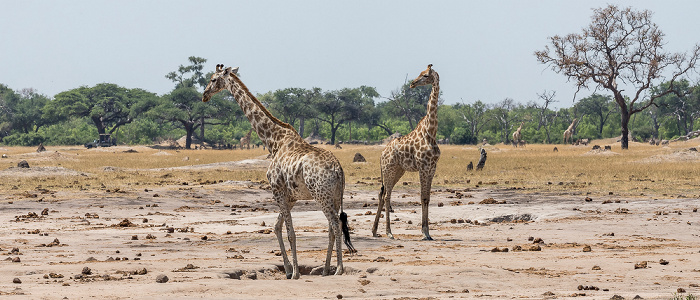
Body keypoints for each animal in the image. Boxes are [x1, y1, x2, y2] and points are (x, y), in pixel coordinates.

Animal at [202, 63, 356, 278]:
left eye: (213, 79)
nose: (204, 95)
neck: (273, 142)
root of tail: (338, 169)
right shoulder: (290, 196)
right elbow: (276, 227)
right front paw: (288, 269)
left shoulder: (277, 190)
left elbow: (290, 233)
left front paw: (296, 273)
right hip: (335, 195)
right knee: (333, 227)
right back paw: (326, 269)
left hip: (321, 194)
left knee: (335, 223)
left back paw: (339, 269)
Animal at [374, 63, 440, 241]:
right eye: (421, 73)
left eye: (425, 75)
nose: (412, 83)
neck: (431, 132)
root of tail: (381, 155)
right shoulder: (423, 167)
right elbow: (423, 197)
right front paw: (424, 232)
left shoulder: (432, 168)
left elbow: (428, 198)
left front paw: (428, 232)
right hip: (389, 170)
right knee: (387, 195)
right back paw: (389, 232)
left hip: (398, 171)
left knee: (382, 194)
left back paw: (374, 231)